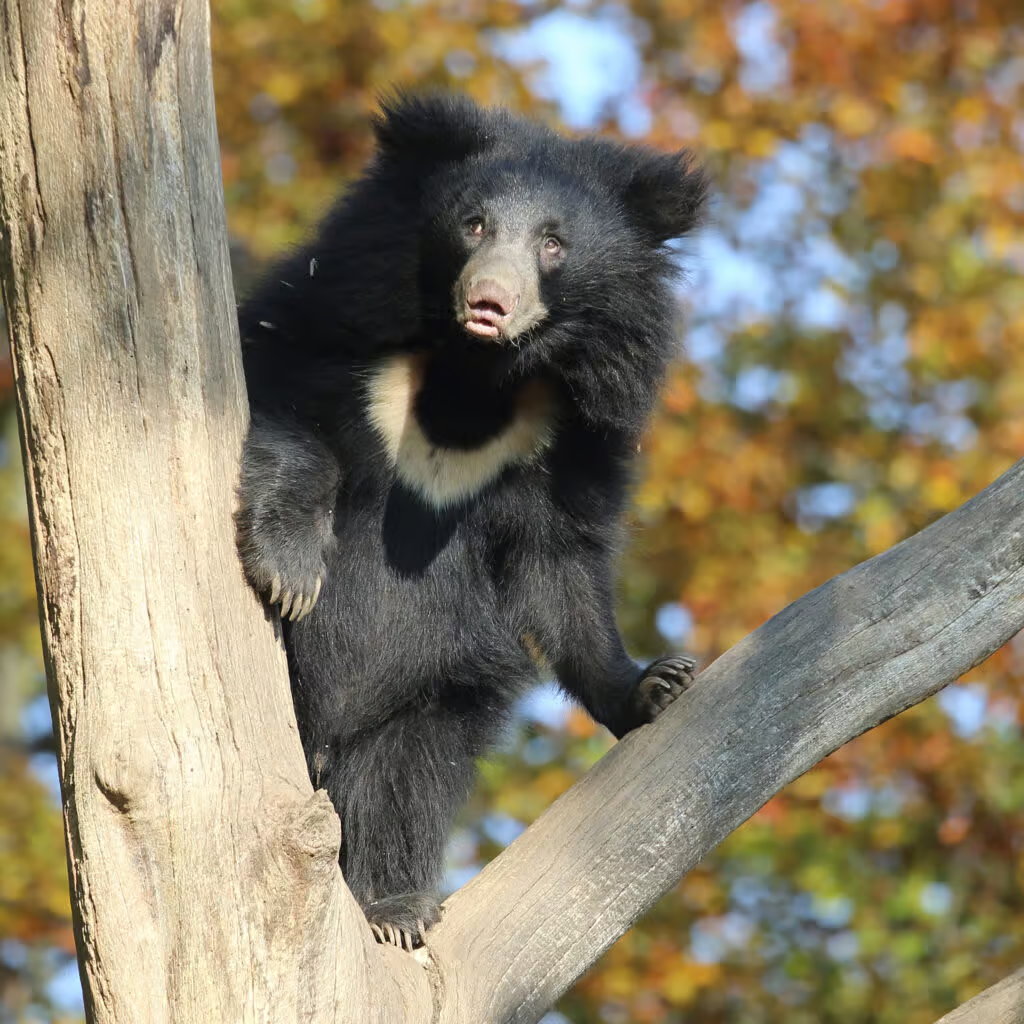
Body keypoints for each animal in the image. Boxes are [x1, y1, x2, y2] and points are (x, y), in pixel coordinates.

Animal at [235, 93, 708, 949]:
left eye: (553, 244)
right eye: (474, 225)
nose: (490, 300)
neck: (474, 372)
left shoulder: (576, 430)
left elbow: (564, 567)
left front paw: (655, 685)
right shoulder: (335, 314)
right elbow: (287, 410)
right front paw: (291, 573)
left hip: (430, 686)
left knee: (404, 776)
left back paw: (394, 907)